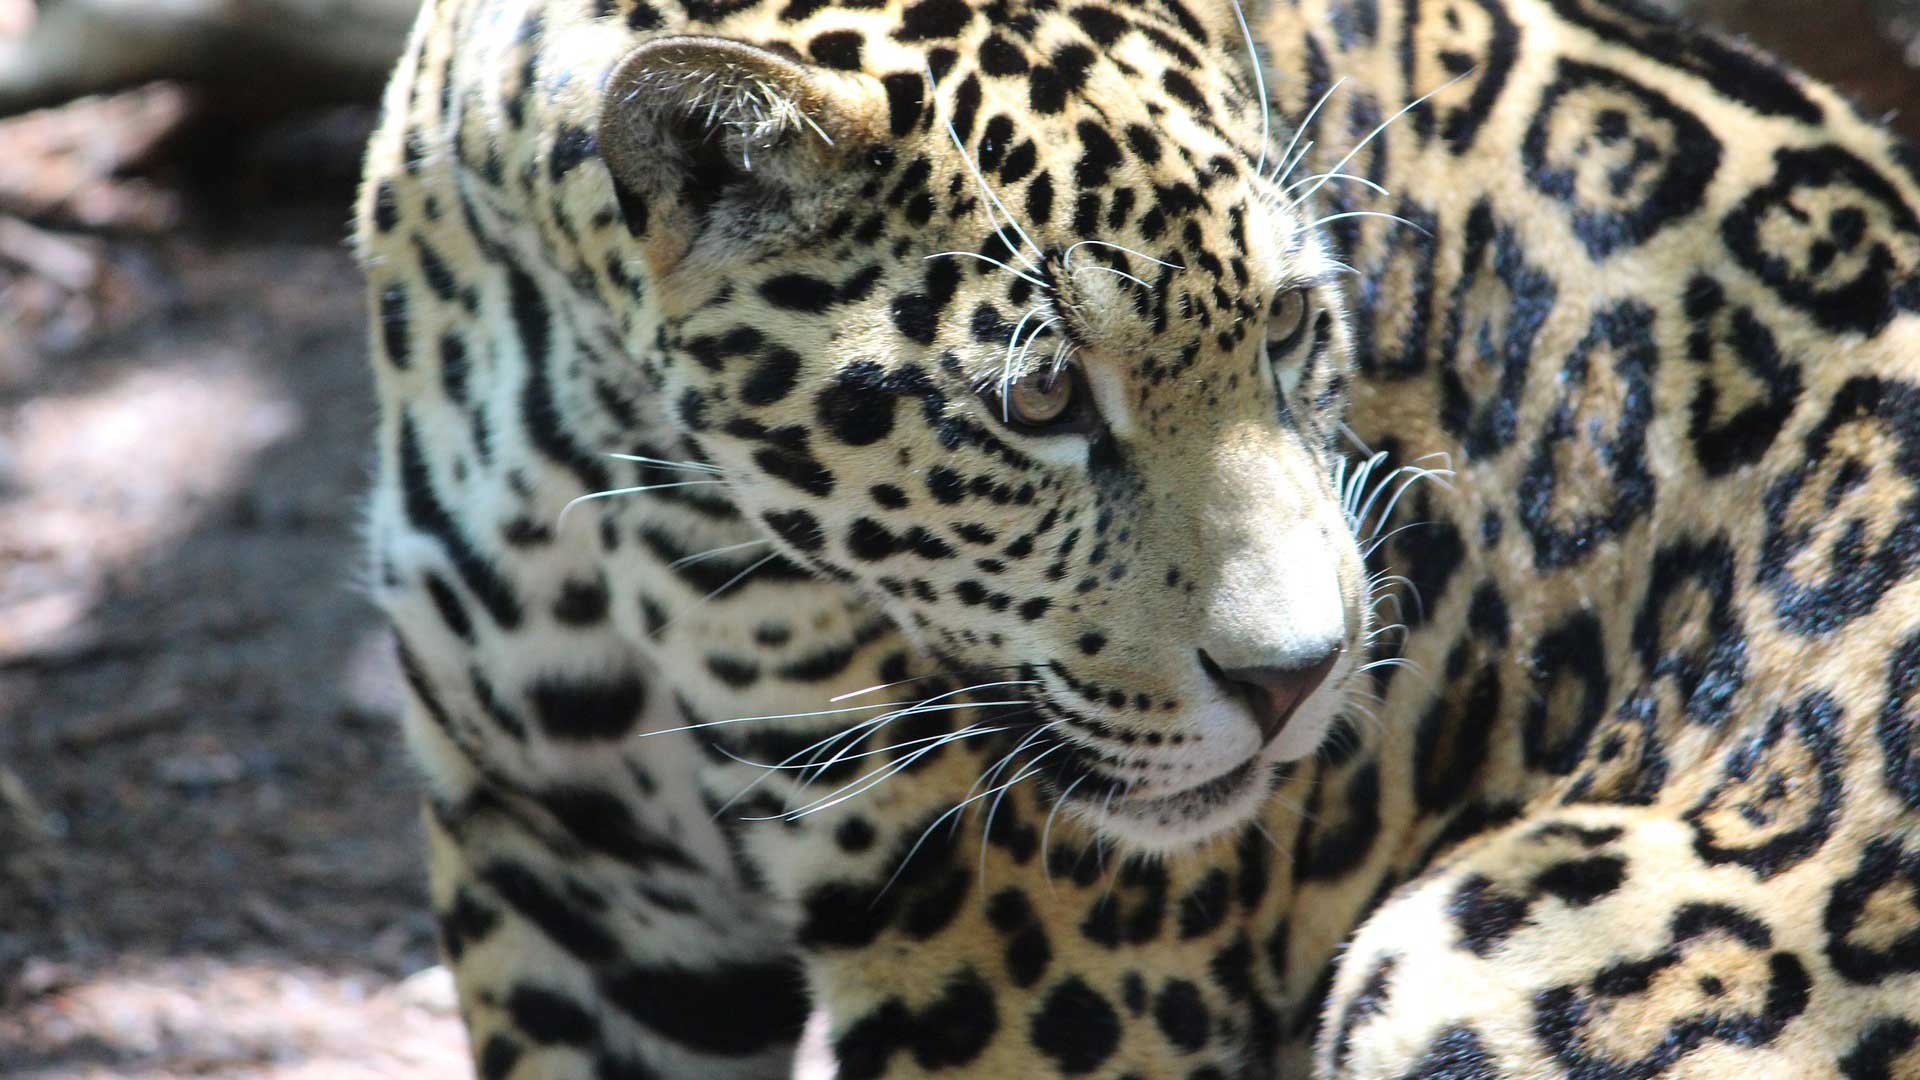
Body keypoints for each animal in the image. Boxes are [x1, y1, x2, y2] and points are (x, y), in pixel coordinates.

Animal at [352, 0, 1920, 1074]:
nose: (1300, 681)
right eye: (1042, 396)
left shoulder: (1032, 970)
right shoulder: (572, 875)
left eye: (1286, 324)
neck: (613, 458)